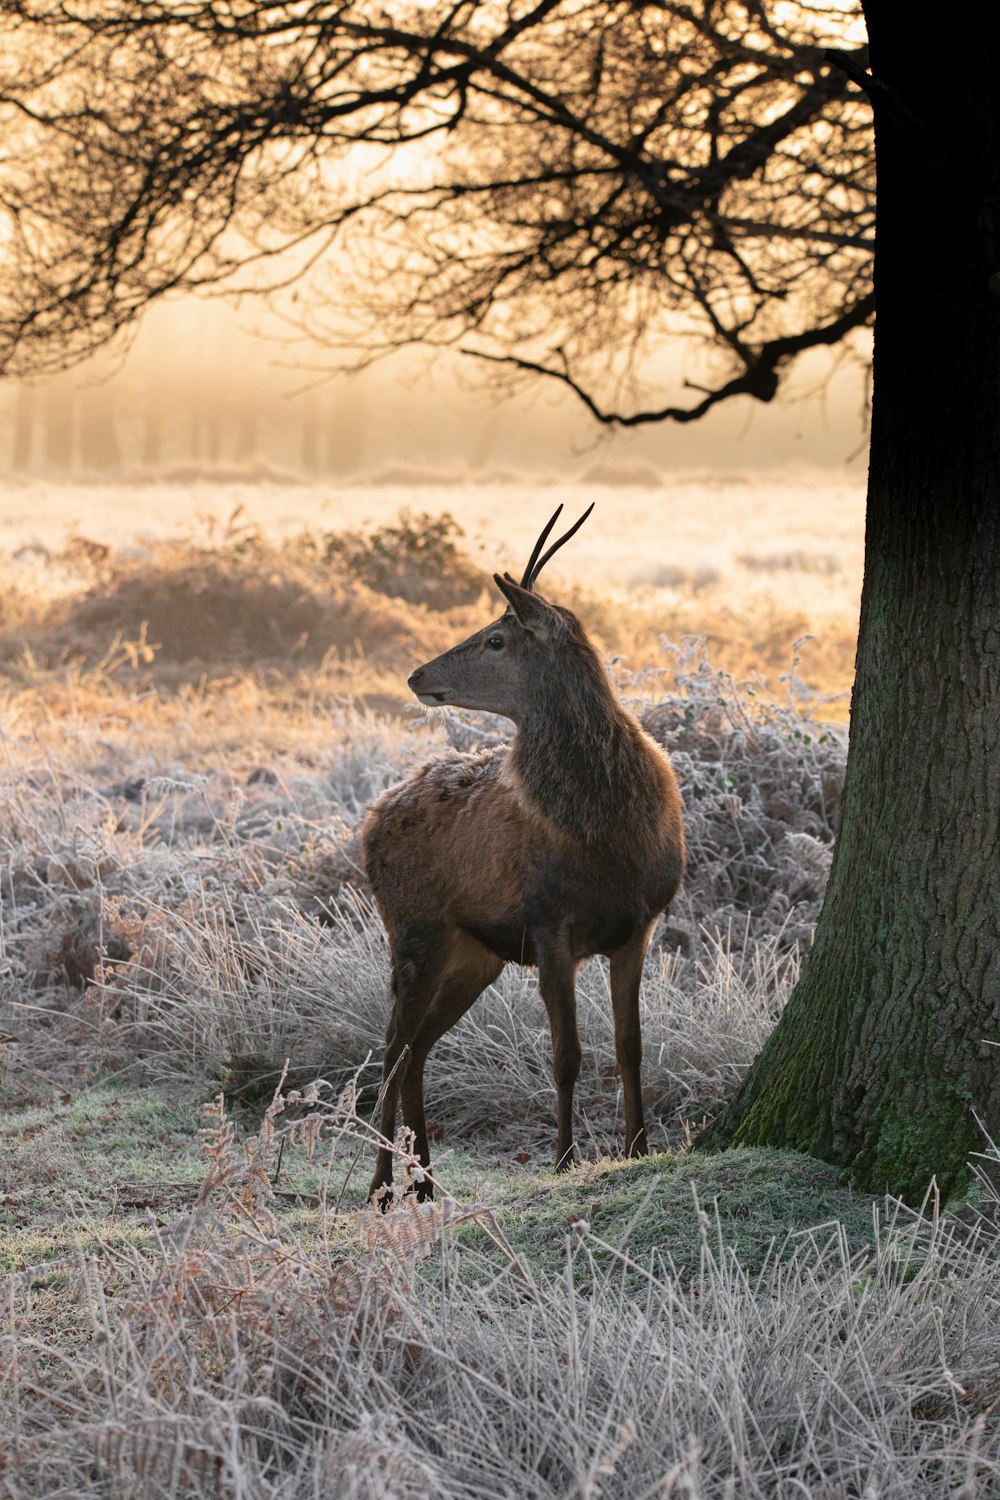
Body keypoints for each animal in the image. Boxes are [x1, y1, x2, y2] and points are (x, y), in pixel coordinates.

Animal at [364, 507, 683, 1206]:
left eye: (496, 640)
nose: (417, 675)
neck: (611, 834)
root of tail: (371, 820)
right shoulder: (548, 923)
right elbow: (567, 1053)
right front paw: (562, 1158)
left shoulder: (640, 924)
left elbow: (631, 1045)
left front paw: (638, 1147)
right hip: (415, 929)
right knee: (392, 1047)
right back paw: (381, 1186)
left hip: (474, 953)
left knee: (417, 1049)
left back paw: (426, 1181)